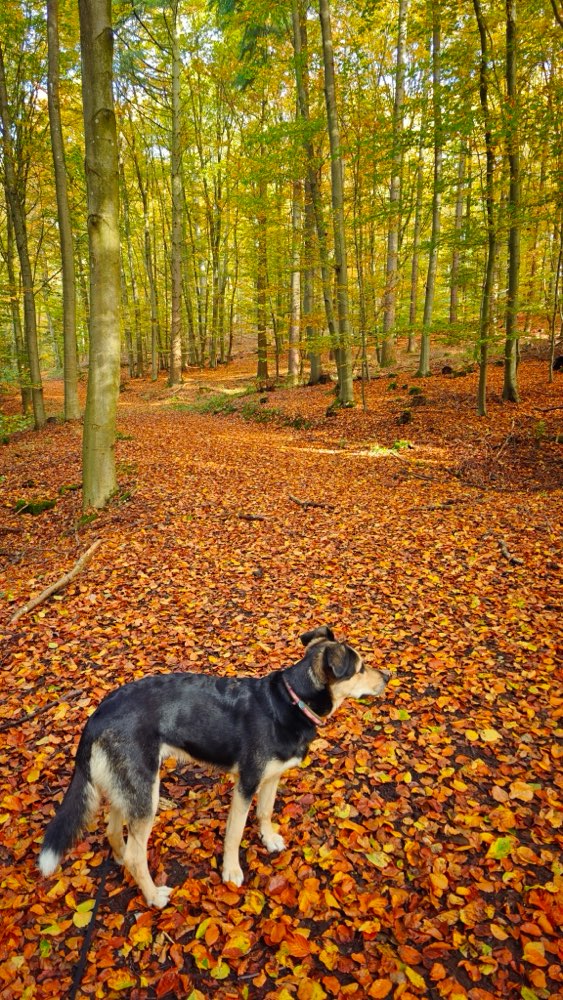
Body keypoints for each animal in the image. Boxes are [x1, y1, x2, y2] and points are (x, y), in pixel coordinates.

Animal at [39, 628, 390, 912]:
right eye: (360, 668)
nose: (387, 675)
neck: (292, 702)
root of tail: (97, 715)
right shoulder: (246, 783)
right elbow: (234, 833)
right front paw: (231, 871)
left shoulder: (272, 777)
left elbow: (265, 812)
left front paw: (269, 839)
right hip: (145, 792)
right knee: (138, 856)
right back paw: (152, 895)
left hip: (129, 787)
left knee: (115, 831)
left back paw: (122, 858)